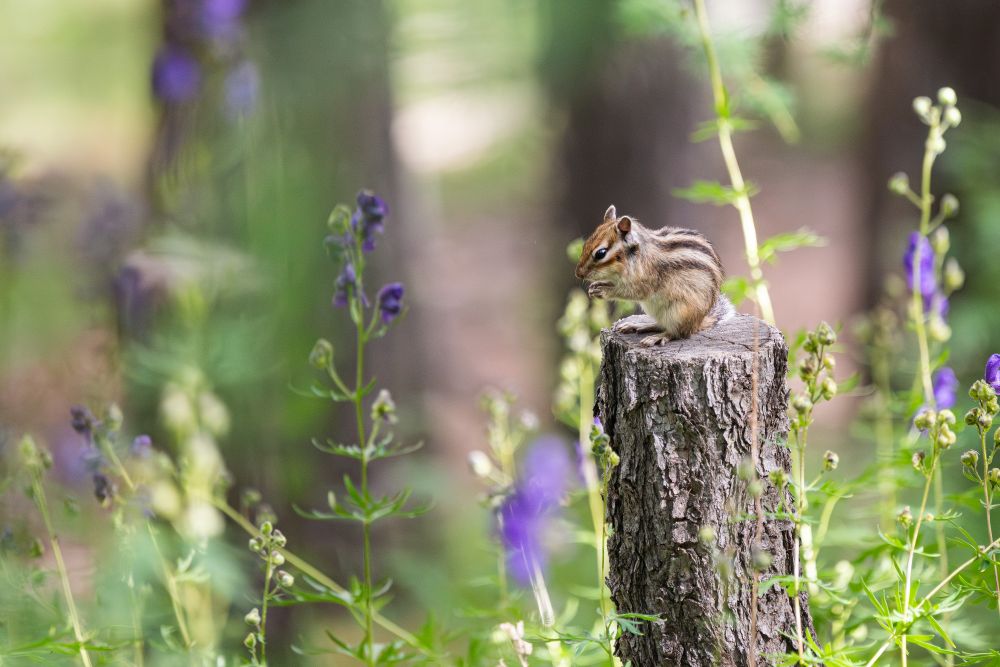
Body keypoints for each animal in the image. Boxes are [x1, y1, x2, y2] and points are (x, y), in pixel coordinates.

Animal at [575, 205, 735, 347]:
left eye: (600, 253)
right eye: (585, 245)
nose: (578, 274)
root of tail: (699, 322)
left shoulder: (645, 281)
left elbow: (628, 291)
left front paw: (604, 291)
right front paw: (595, 286)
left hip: (679, 313)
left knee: (678, 333)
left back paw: (658, 337)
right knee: (660, 324)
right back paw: (640, 326)